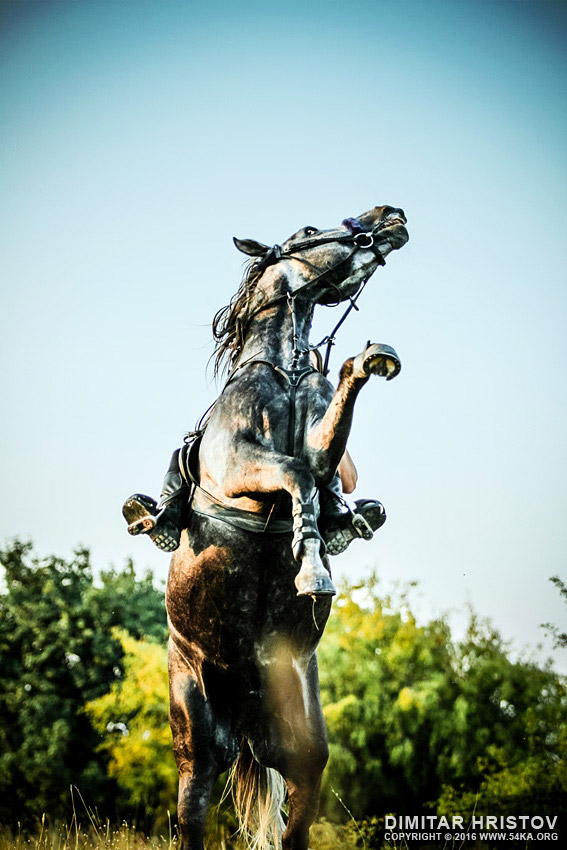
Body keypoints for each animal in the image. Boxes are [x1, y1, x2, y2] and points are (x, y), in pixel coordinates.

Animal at [164, 205, 408, 848]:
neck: (287, 373)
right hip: (197, 729)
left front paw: (368, 360)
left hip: (301, 741)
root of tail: (248, 711)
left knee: (298, 808)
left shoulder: (324, 452)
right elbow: (294, 472)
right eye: (307, 234)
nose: (389, 216)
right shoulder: (235, 464)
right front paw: (312, 570)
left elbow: (313, 463)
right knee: (194, 805)